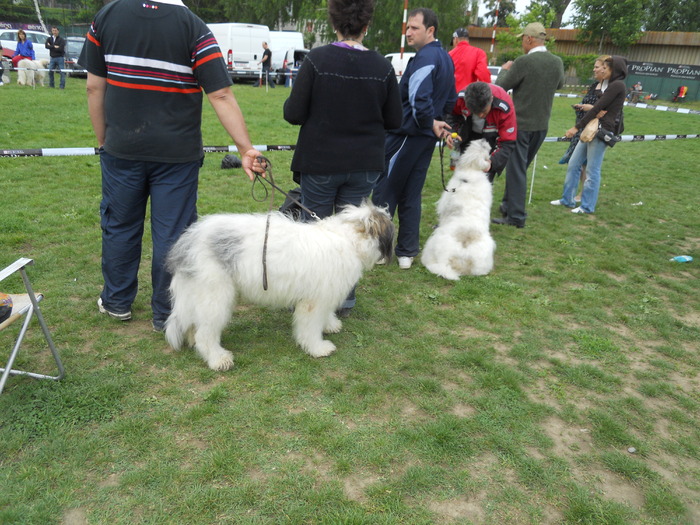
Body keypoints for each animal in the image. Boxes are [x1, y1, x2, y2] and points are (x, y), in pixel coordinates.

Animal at [164, 200, 394, 368]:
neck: (346, 239)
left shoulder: (325, 293)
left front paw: (330, 324)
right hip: (215, 294)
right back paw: (218, 358)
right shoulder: (314, 300)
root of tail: (186, 241)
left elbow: (325, 315)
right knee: (205, 333)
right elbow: (310, 327)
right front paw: (318, 348)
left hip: (199, 292)